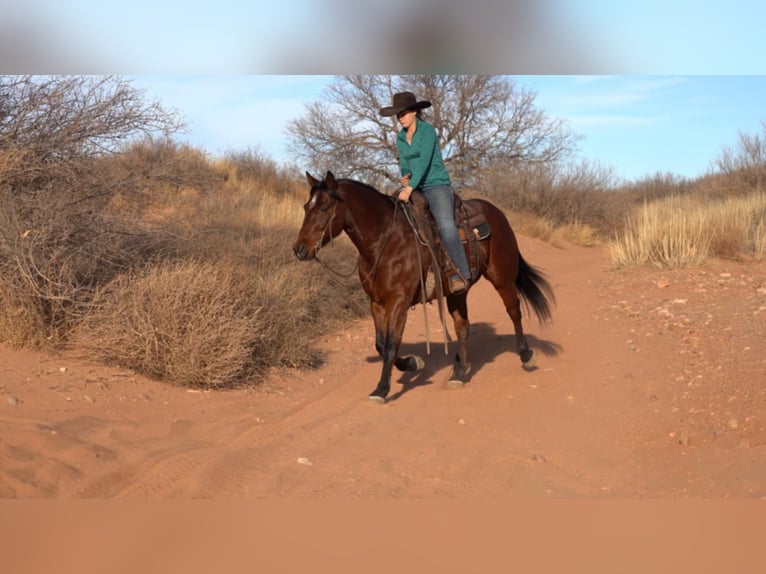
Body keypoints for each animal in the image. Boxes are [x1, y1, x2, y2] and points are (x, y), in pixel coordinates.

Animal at [292, 171, 556, 404]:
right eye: (306, 207)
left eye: (324, 208)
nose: (300, 249)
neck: (385, 241)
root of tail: (497, 213)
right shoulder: (376, 302)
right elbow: (380, 344)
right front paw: (413, 363)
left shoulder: (399, 302)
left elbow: (391, 345)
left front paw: (382, 389)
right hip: (457, 293)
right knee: (463, 327)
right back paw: (459, 373)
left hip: (502, 278)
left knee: (514, 311)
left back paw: (526, 355)